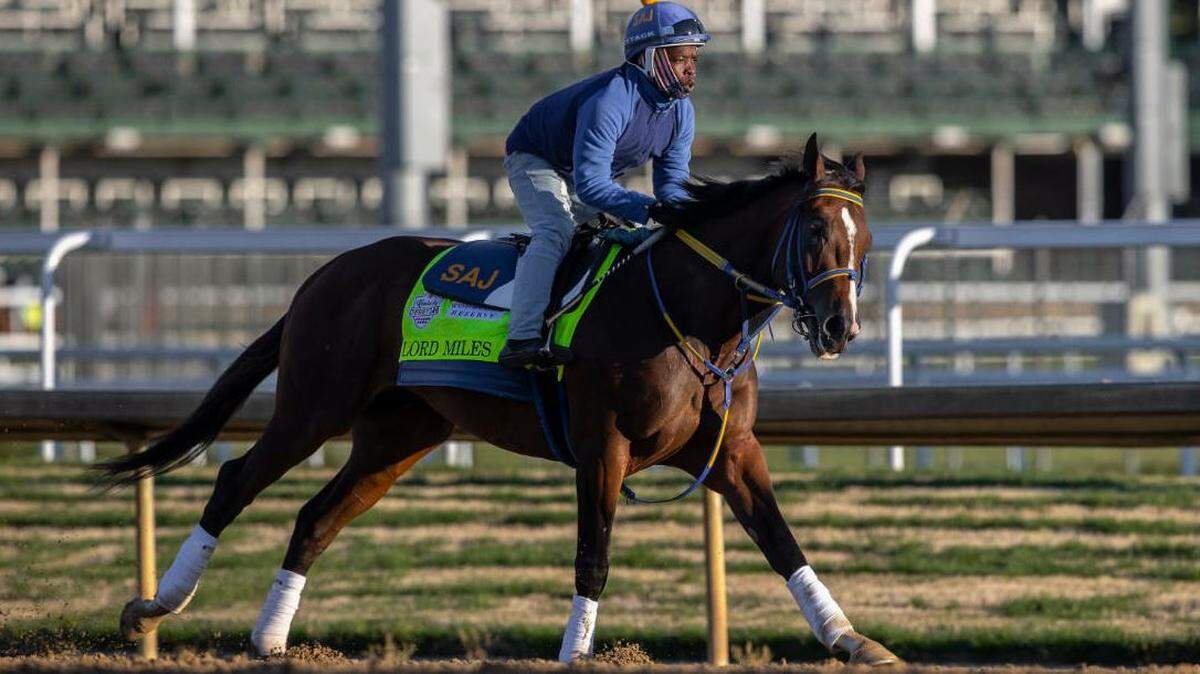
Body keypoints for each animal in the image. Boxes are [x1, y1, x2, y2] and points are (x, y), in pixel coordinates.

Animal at [100, 134, 898, 665]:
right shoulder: (602, 446)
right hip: (313, 406)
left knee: (316, 516)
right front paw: (576, 652)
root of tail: (323, 277)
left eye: (865, 236)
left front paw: (849, 637)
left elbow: (782, 540)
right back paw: (153, 608)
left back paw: (270, 638)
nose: (840, 327)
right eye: (817, 228)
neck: (690, 315)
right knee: (237, 479)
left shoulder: (730, 450)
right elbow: (593, 554)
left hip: (398, 436)